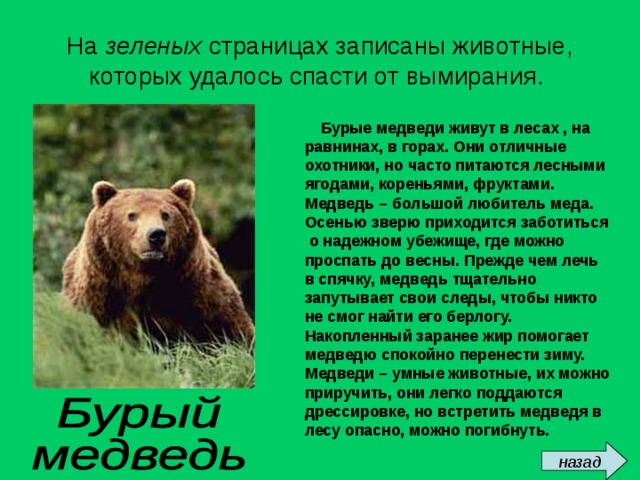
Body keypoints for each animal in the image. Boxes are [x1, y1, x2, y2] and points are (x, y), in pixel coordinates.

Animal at [62, 179, 255, 348]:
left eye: (166, 214)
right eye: (132, 215)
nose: (156, 234)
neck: (143, 279)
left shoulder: (198, 290)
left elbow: (233, 327)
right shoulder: (98, 295)